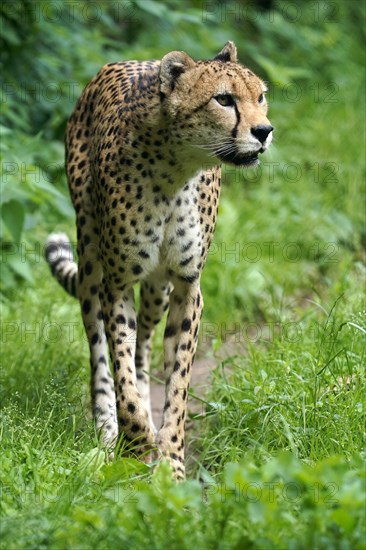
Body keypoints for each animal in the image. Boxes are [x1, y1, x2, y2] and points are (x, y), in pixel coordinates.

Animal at [45, 43, 272, 480]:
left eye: (261, 96)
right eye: (224, 99)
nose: (264, 132)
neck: (176, 170)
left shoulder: (187, 286)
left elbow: (177, 383)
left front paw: (171, 462)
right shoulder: (116, 284)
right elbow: (120, 369)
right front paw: (135, 443)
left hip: (157, 289)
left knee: (145, 344)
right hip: (91, 262)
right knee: (99, 351)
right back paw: (107, 428)